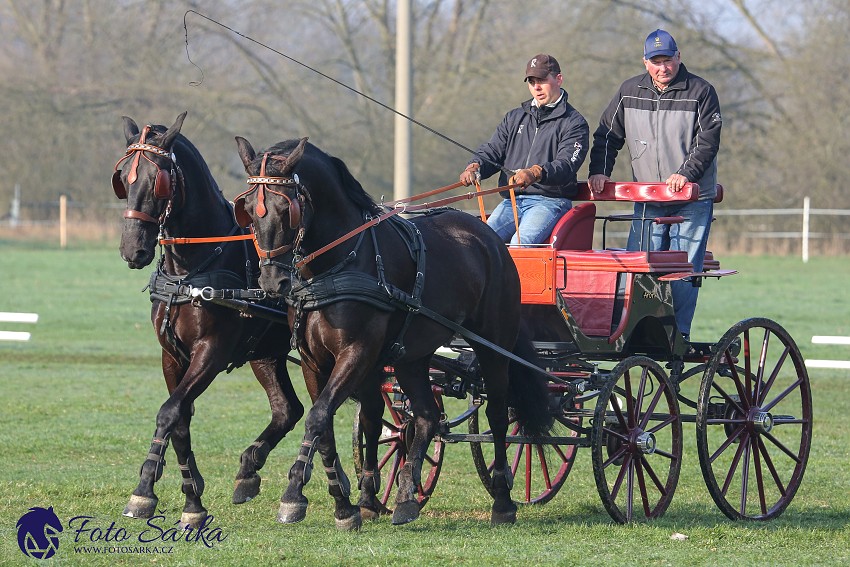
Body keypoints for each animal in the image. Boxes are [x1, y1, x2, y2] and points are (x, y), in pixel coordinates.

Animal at [109, 113, 302, 532]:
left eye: (158, 179)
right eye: (123, 180)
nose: (134, 250)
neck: (191, 270)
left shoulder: (210, 353)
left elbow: (169, 411)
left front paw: (143, 491)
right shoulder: (171, 355)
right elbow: (180, 419)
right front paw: (192, 500)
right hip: (267, 354)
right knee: (288, 409)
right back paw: (249, 470)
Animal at [232, 138, 548, 528]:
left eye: (285, 207)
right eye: (247, 210)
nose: (271, 281)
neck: (337, 264)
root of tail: (489, 237)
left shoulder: (356, 352)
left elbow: (319, 416)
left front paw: (294, 494)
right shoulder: (313, 360)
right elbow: (326, 424)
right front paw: (345, 503)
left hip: (494, 345)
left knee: (499, 415)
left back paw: (503, 501)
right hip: (412, 356)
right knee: (426, 416)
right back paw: (406, 496)